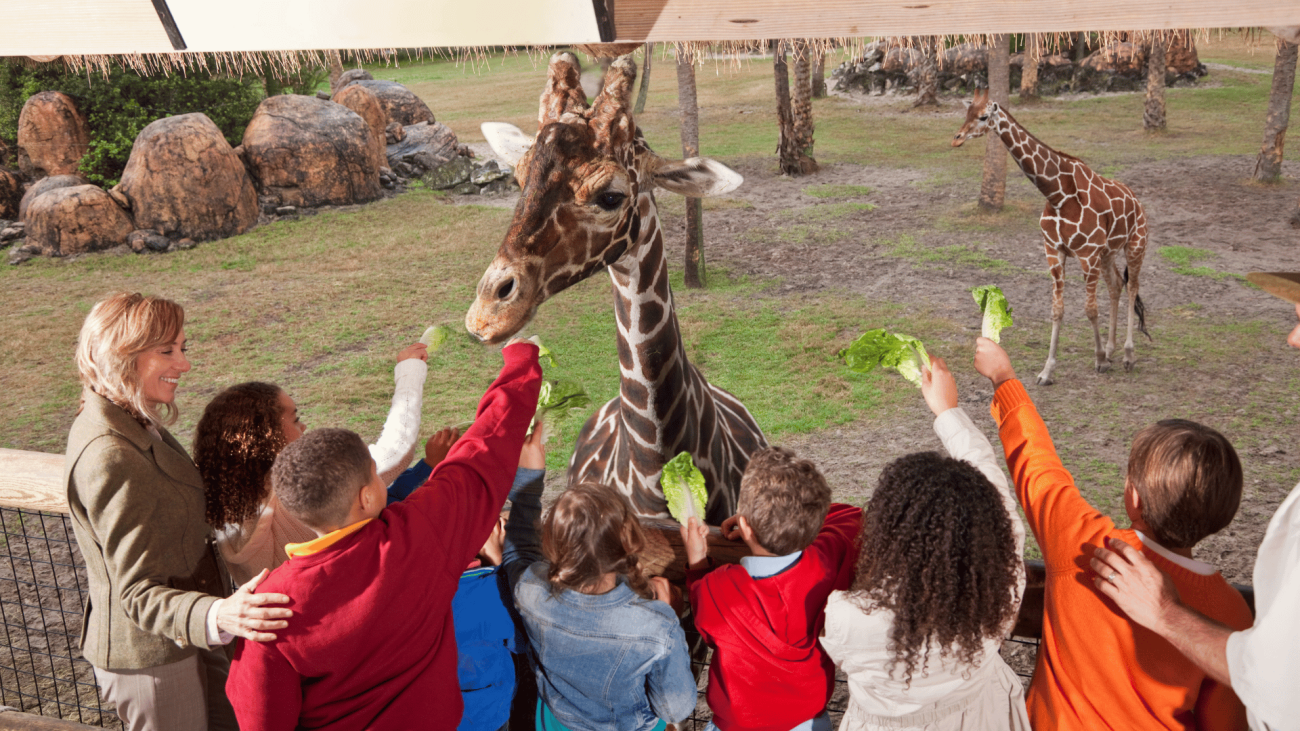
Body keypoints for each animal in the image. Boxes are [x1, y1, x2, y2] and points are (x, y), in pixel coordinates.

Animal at [952, 88, 1150, 385]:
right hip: (1107, 253)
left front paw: (1099, 361)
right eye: (966, 113)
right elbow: (1057, 310)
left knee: (1132, 287)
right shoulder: (1054, 251)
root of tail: (1137, 201)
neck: (1057, 194)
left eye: (984, 116)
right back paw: (1111, 349)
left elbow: (1090, 309)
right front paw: (1048, 371)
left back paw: (1127, 355)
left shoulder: (1086, 253)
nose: (957, 138)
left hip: (1135, 244)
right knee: (1116, 286)